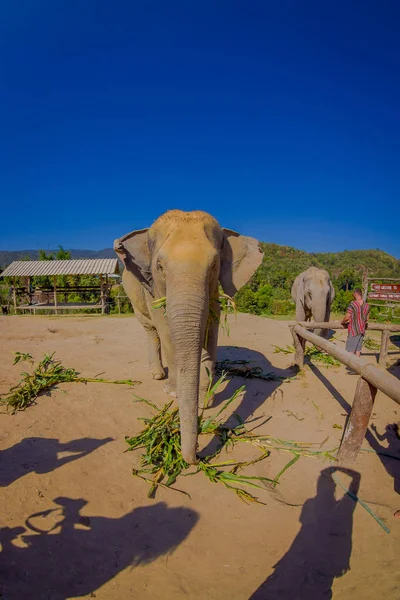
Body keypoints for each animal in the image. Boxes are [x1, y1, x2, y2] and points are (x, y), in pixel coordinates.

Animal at [113, 210, 262, 464]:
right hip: (133, 297)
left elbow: (211, 330)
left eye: (214, 264)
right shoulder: (152, 289)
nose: (196, 457)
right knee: (151, 331)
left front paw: (206, 400)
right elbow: (165, 329)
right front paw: (174, 393)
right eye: (159, 266)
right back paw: (157, 375)